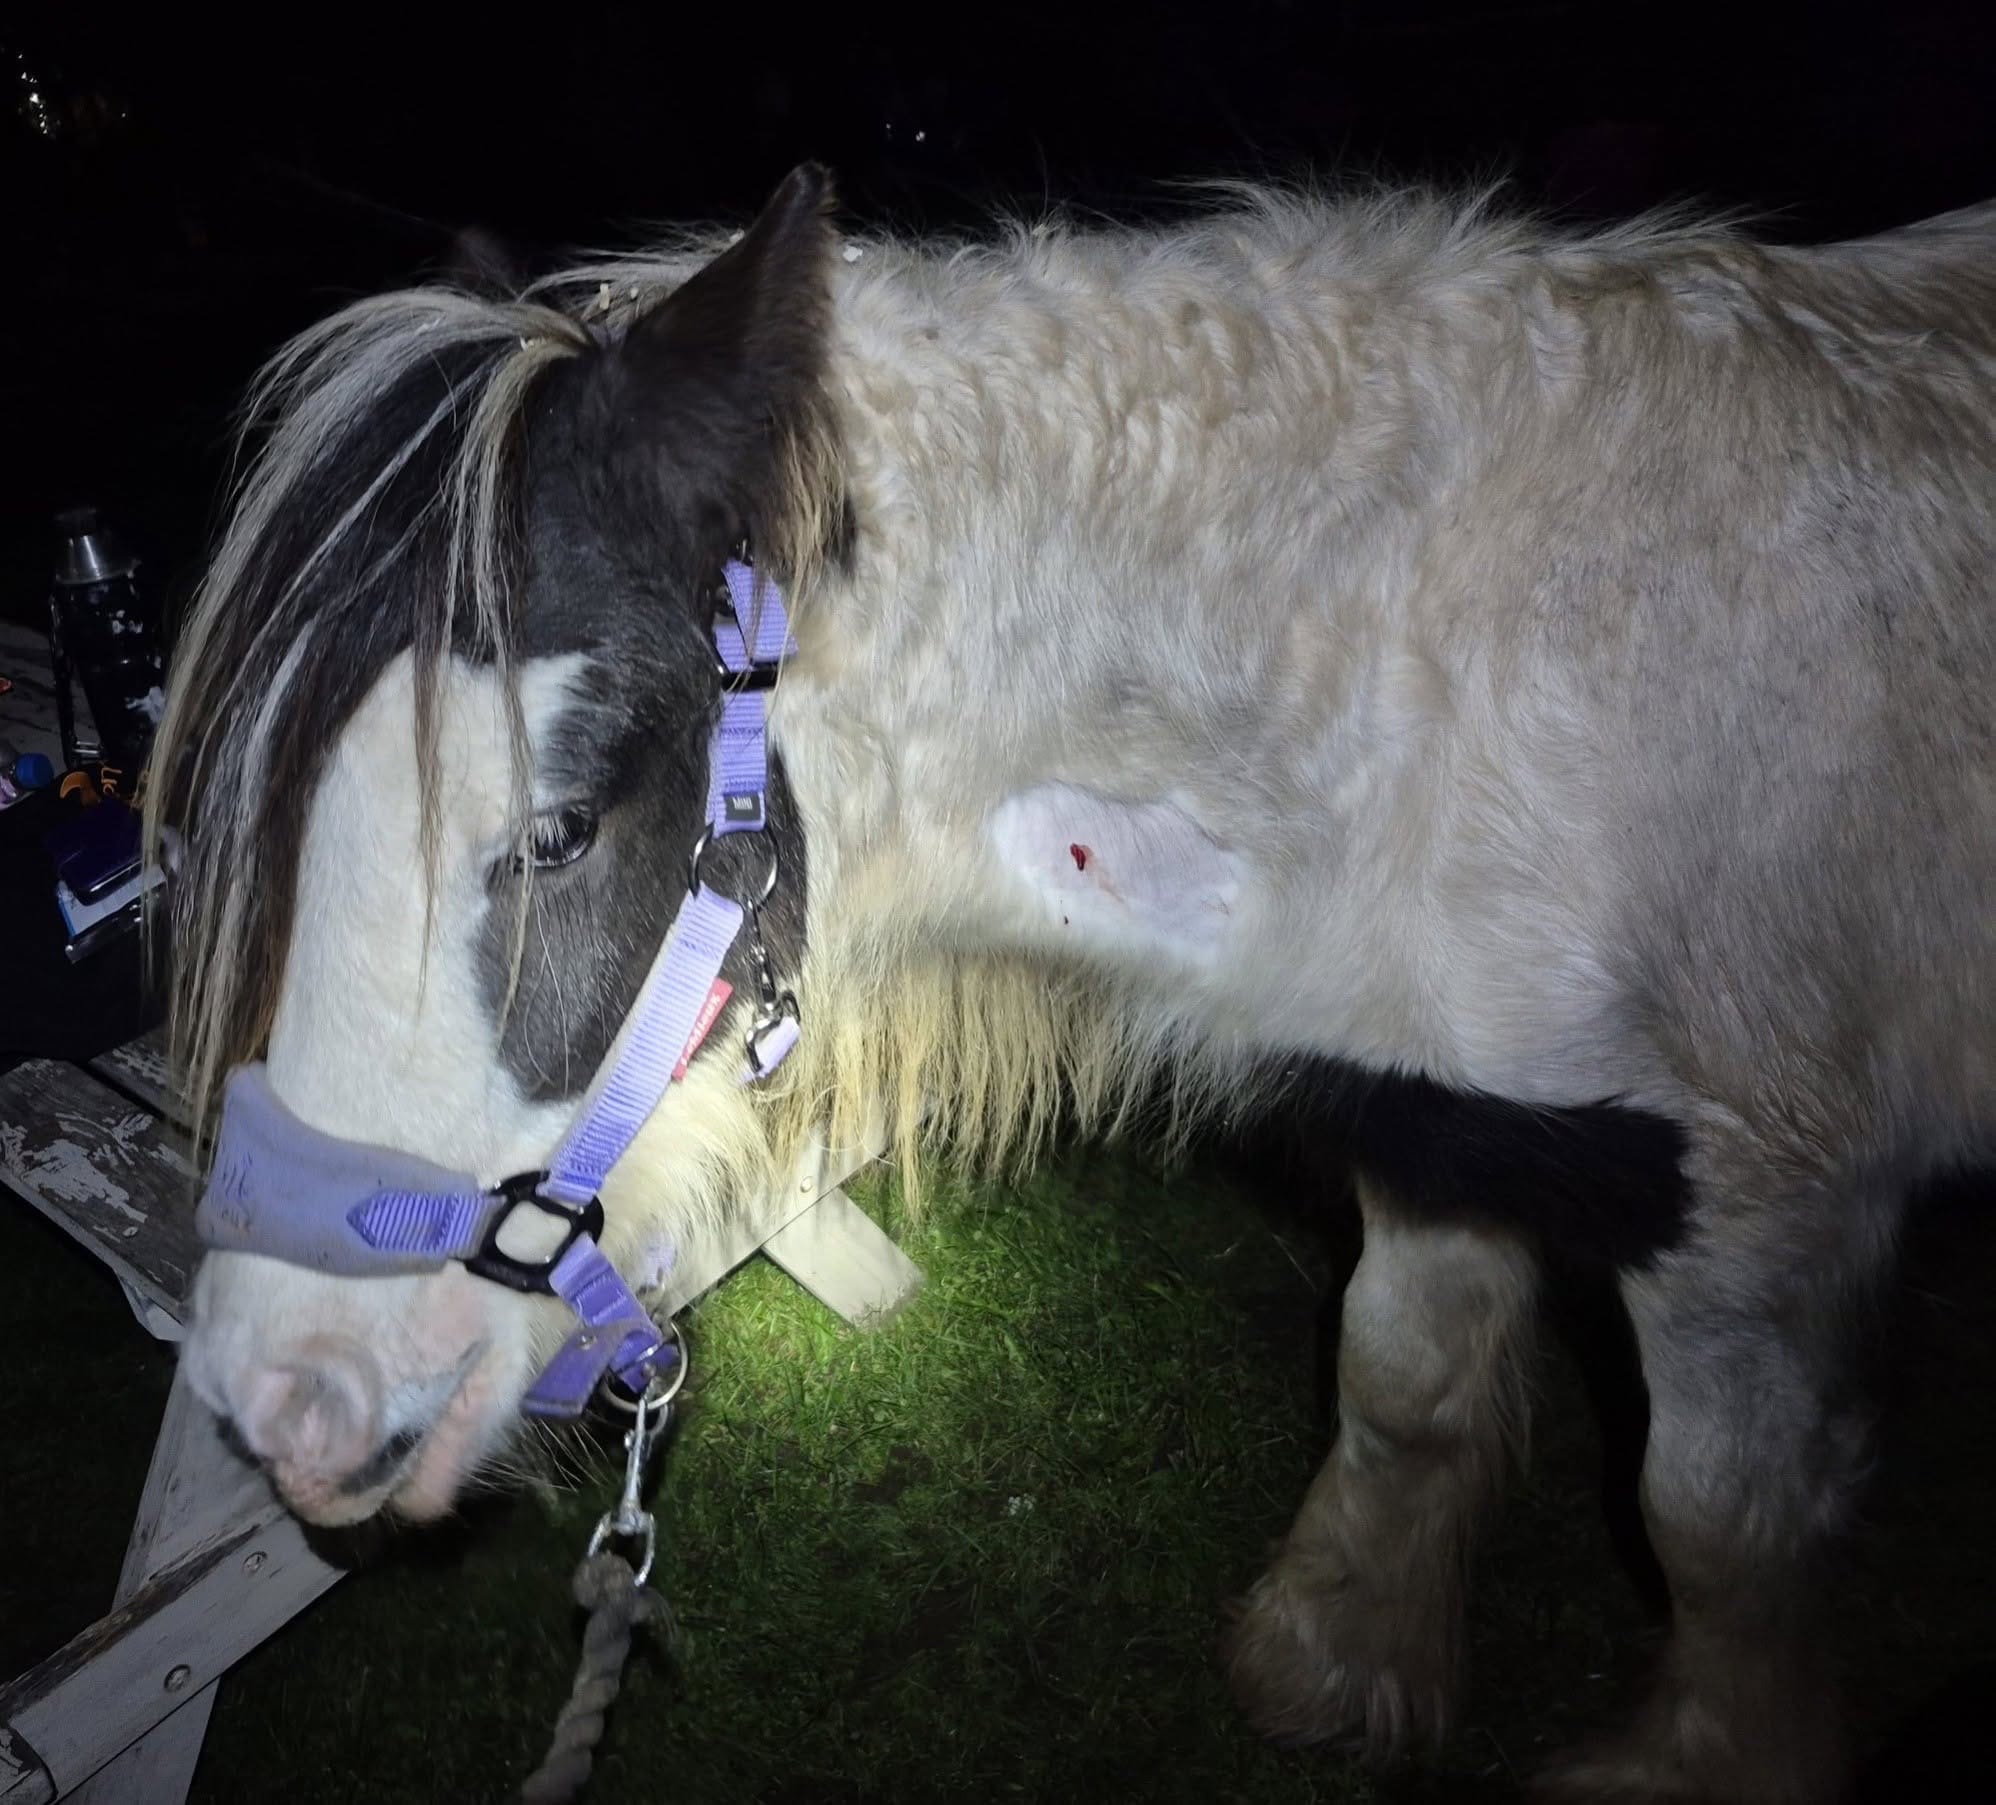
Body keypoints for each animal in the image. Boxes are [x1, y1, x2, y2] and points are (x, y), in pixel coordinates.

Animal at [150, 165, 1996, 1800]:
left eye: (557, 831)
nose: (275, 1393)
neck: (1450, 687)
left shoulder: (1757, 1202)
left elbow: (1716, 1512)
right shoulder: (1443, 1120)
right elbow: (1398, 1379)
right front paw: (1333, 1663)